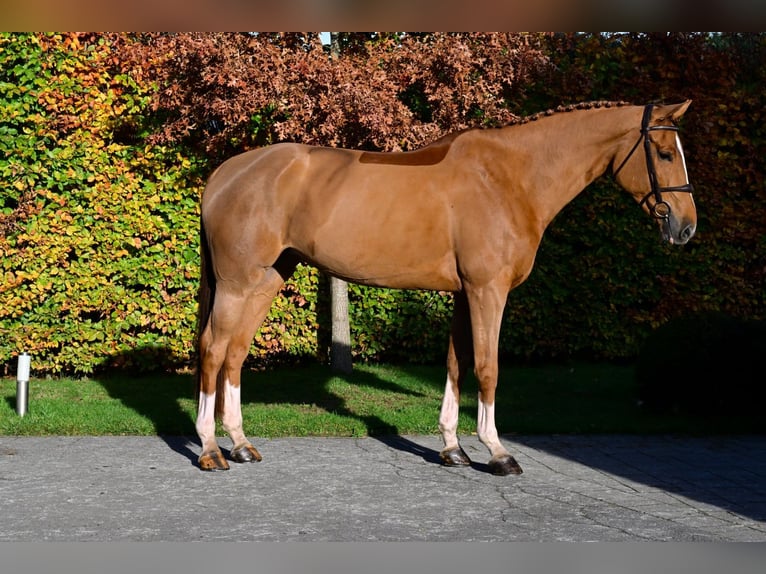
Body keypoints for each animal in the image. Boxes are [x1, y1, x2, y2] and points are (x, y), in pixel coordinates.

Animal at [195, 100, 696, 474]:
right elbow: (489, 368)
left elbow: (457, 364)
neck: (510, 177)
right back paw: (211, 450)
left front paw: (453, 448)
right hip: (238, 283)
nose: (686, 227)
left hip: (268, 278)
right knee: (214, 350)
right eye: (664, 153)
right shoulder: (488, 291)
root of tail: (225, 172)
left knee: (236, 352)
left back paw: (240, 443)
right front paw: (497, 451)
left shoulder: (463, 293)